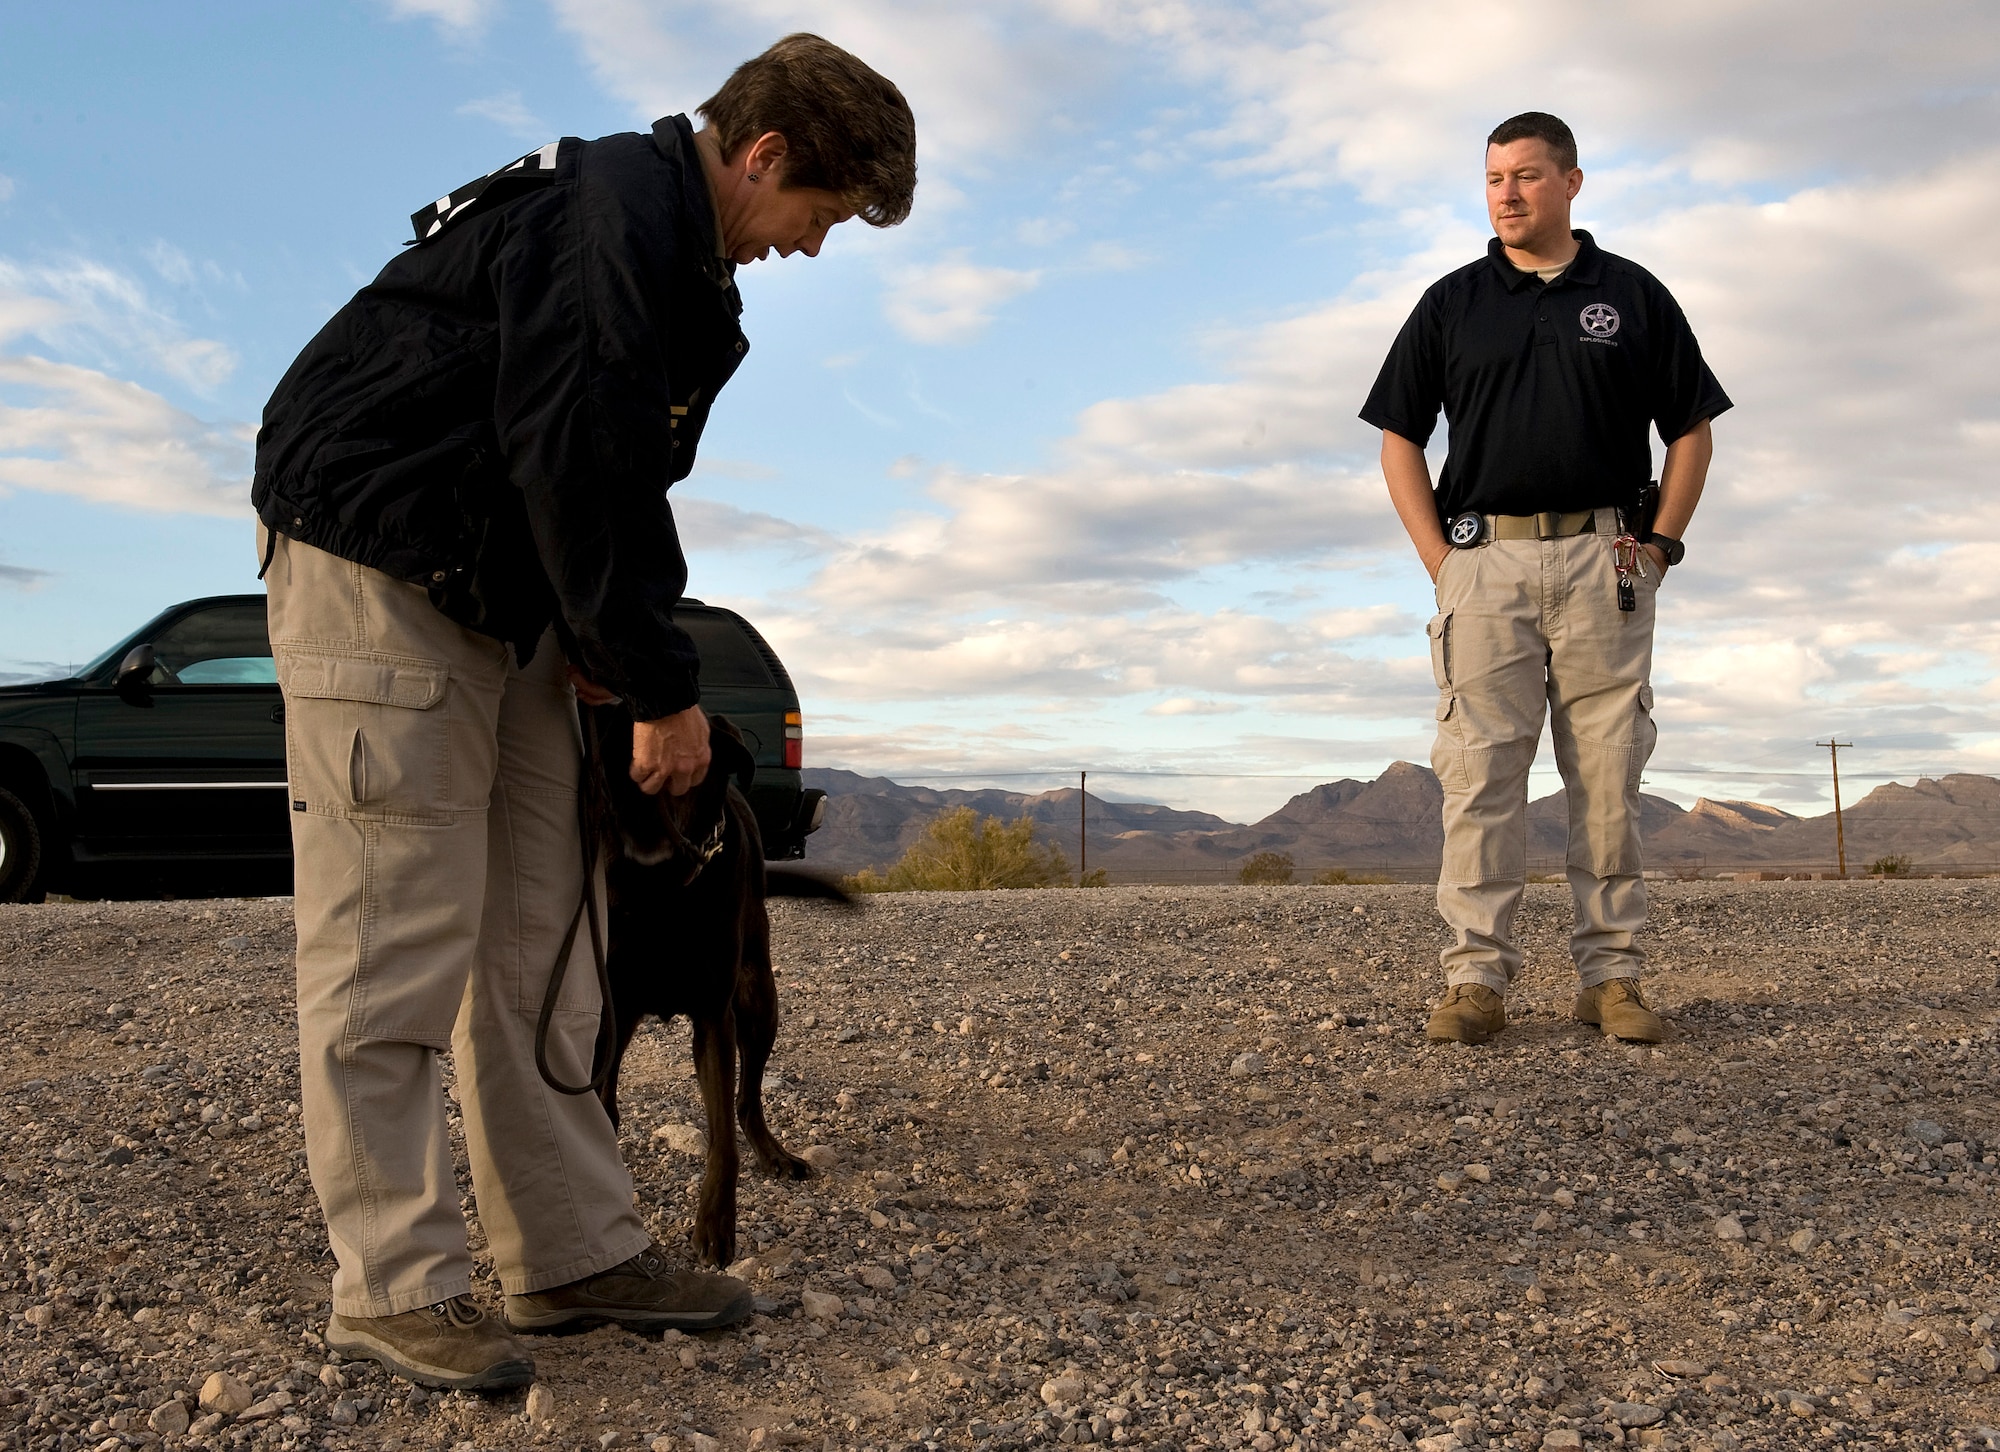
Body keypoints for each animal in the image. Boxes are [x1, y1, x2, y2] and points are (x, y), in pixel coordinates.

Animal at [584, 712, 852, 1272]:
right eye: (616, 780)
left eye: (679, 777)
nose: (647, 853)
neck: (663, 897)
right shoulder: (608, 1009)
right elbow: (598, 1103)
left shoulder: (714, 1019)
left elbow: (723, 1135)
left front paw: (716, 1224)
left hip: (759, 1000)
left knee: (747, 1101)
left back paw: (774, 1154)